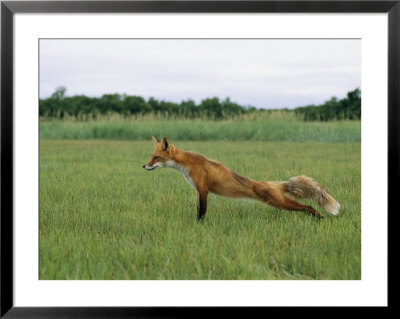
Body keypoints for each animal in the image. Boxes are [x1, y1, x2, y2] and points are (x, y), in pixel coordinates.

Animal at [142, 136, 340, 221]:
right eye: (151, 157)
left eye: (156, 158)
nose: (144, 166)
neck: (188, 165)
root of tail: (272, 183)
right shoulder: (199, 192)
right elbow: (199, 210)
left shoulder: (203, 190)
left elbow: (201, 213)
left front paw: (199, 225)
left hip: (281, 203)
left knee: (308, 207)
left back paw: (321, 218)